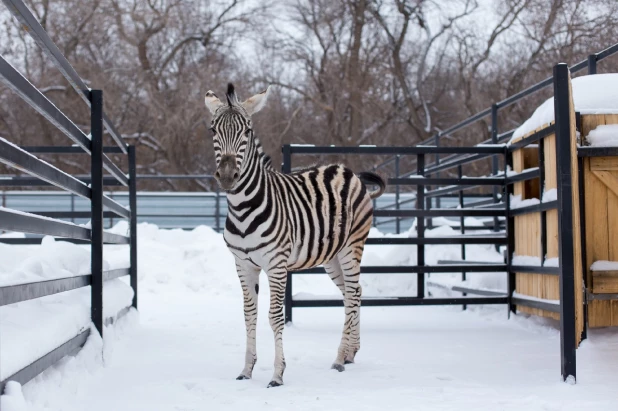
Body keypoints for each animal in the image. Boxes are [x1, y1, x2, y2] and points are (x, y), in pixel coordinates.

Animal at [205, 84, 382, 390]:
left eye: (247, 131)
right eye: (213, 130)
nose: (227, 176)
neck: (242, 208)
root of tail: (349, 172)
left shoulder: (276, 265)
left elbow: (275, 316)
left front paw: (277, 375)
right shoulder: (243, 265)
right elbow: (249, 315)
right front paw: (246, 370)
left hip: (352, 247)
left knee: (353, 294)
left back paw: (338, 359)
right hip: (332, 257)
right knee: (354, 293)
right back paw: (350, 353)